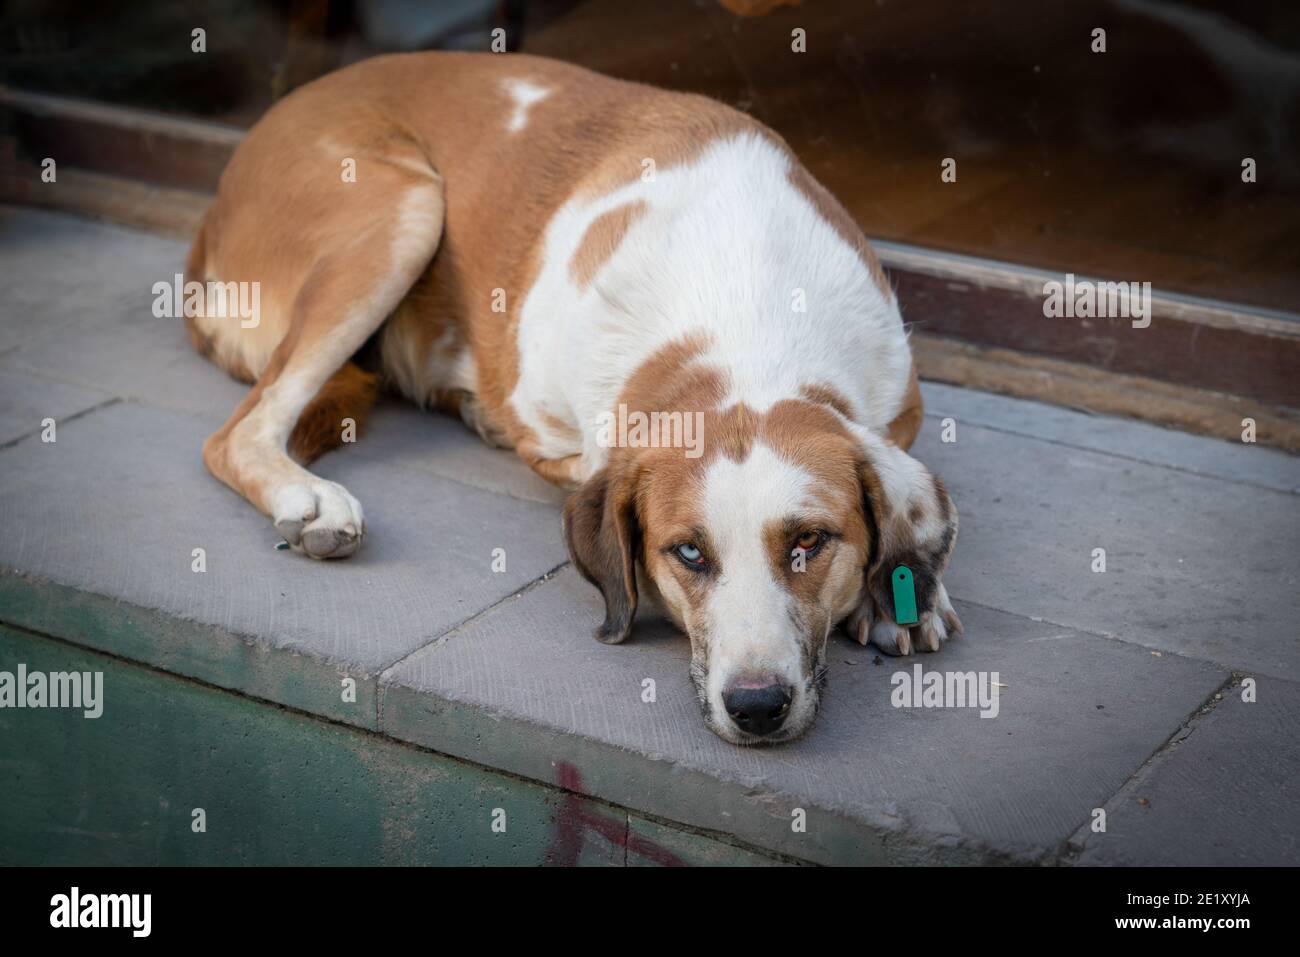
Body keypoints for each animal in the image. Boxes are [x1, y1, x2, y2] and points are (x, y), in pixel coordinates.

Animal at [183, 52, 961, 748]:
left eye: (809, 541)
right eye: (688, 552)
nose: (757, 705)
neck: (744, 311)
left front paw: (902, 593)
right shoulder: (561, 432)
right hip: (401, 208)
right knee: (235, 434)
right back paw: (309, 498)